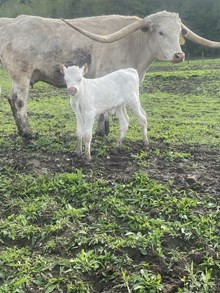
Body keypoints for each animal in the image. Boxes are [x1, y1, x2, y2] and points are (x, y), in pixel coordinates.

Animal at [0, 11, 220, 138]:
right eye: (160, 32)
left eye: (178, 32)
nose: (179, 55)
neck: (133, 44)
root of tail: (11, 23)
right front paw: (102, 131)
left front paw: (103, 130)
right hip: (22, 74)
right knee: (19, 100)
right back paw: (28, 133)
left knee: (11, 98)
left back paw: (21, 130)